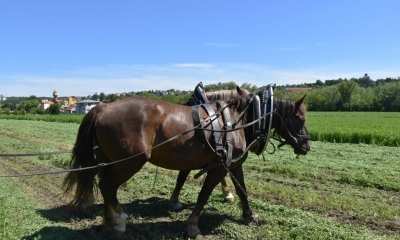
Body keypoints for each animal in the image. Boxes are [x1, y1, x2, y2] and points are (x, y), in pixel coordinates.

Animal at [63, 85, 312, 238]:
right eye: (300, 119)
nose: (307, 146)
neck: (236, 122)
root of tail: (103, 107)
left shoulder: (233, 164)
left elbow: (242, 190)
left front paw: (250, 215)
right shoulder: (220, 168)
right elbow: (204, 195)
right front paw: (192, 226)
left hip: (108, 160)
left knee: (103, 183)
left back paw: (108, 223)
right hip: (130, 162)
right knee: (107, 186)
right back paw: (119, 220)